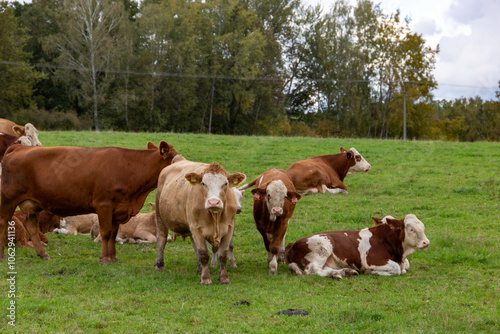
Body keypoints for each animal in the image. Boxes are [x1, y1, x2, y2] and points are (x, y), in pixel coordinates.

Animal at [0, 140, 179, 262]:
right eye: (174, 159)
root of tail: (19, 147)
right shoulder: (104, 205)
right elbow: (106, 233)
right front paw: (105, 258)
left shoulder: (118, 209)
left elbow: (114, 233)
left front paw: (113, 257)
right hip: (8, 200)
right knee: (3, 222)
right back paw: (2, 255)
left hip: (31, 204)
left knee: (30, 226)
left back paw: (43, 254)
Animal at [286, 213, 430, 278]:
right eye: (410, 229)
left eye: (423, 227)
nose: (426, 242)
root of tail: (293, 244)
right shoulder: (372, 260)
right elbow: (396, 269)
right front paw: (370, 271)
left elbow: (404, 267)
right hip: (323, 247)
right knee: (313, 270)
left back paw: (344, 272)